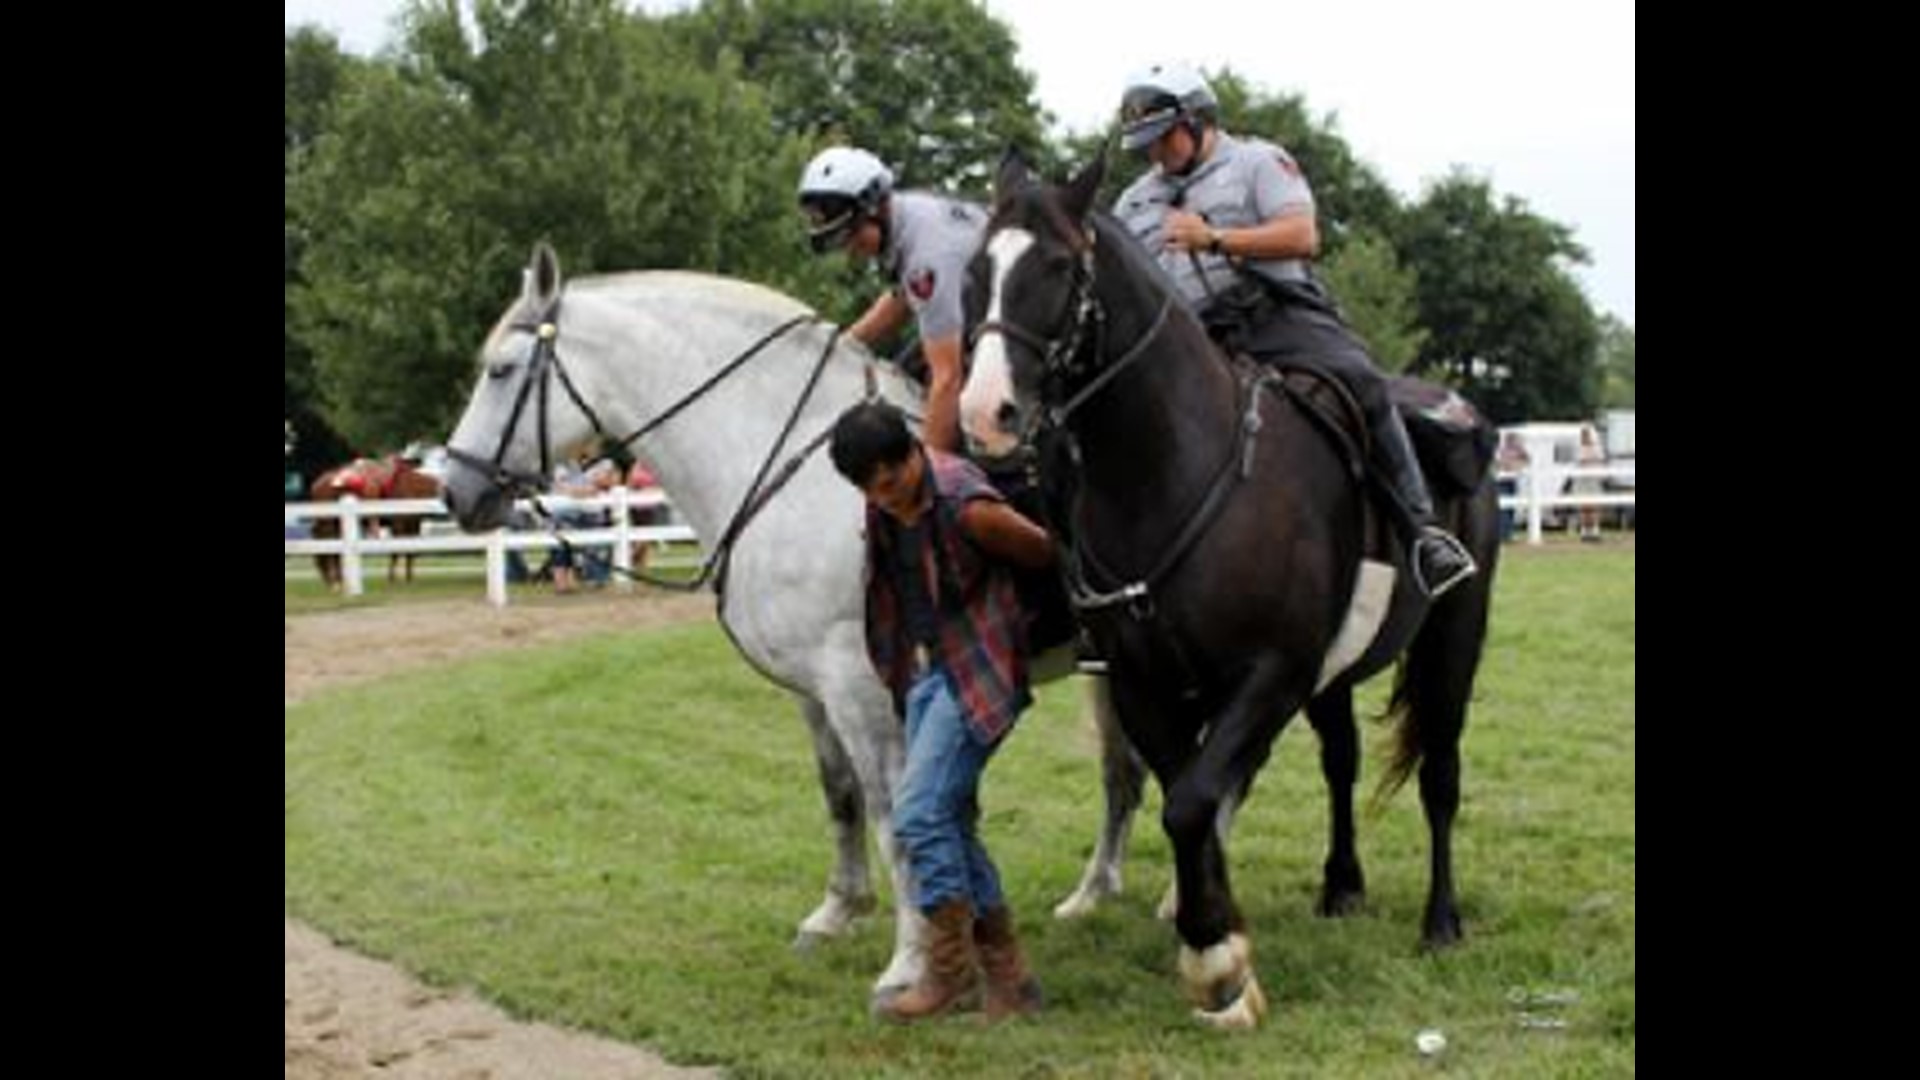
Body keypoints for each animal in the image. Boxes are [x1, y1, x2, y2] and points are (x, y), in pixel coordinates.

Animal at [307, 456, 443, 589]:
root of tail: (316, 485)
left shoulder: (413, 523)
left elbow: (410, 551)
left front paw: (408, 579)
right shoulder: (398, 523)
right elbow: (396, 551)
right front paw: (392, 579)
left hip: (334, 523)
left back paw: (336, 581)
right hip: (328, 522)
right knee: (325, 546)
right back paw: (332, 582)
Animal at [436, 243, 1141, 1003]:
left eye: (501, 371)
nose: (454, 490)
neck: (801, 473)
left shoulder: (863, 687)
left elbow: (893, 814)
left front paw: (909, 960)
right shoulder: (814, 689)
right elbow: (840, 795)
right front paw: (838, 911)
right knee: (1122, 776)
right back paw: (1095, 894)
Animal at [959, 153, 1501, 1029]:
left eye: (1059, 268)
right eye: (977, 271)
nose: (987, 412)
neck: (1173, 471)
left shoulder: (1268, 675)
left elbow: (1193, 803)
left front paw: (1216, 958)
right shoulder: (1147, 684)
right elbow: (1188, 796)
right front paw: (1213, 937)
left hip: (1454, 638)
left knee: (1440, 775)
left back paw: (1441, 921)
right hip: (1333, 679)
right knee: (1342, 764)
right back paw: (1341, 886)